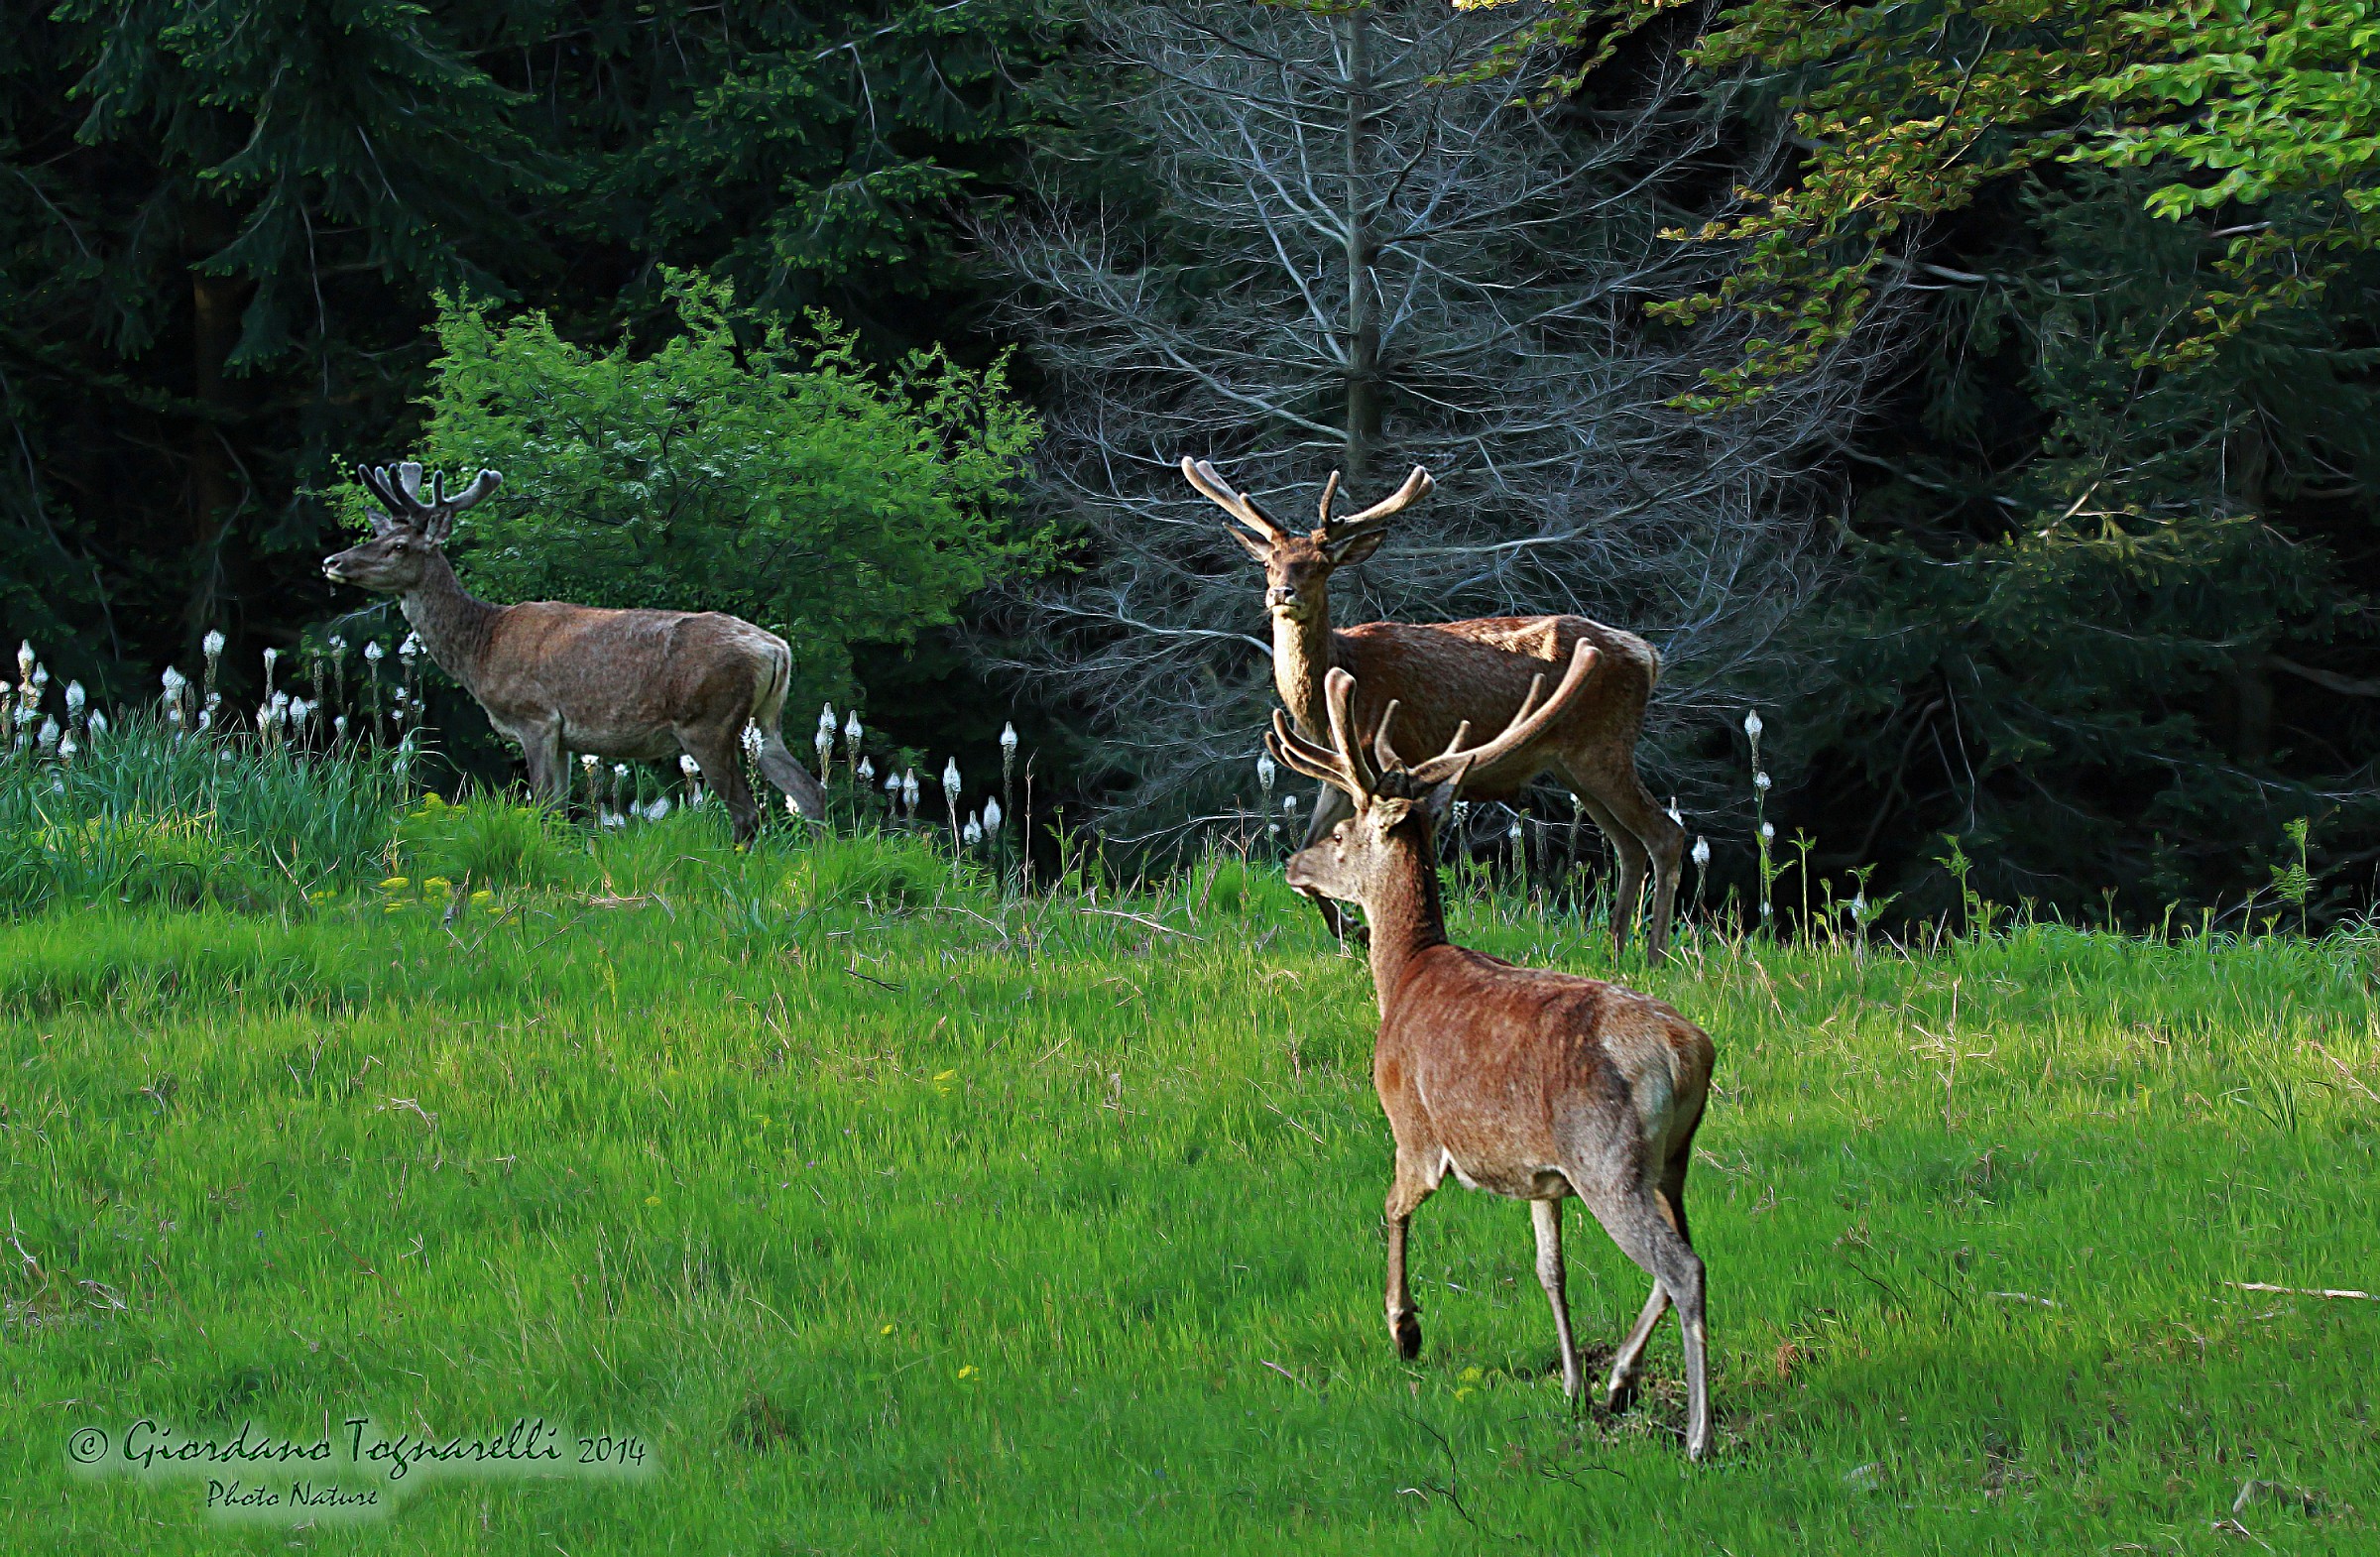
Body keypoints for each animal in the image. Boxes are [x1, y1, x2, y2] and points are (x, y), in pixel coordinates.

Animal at [322, 461, 826, 843]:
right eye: (376, 537)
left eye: (398, 546)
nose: (332, 562)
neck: (480, 648)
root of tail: (776, 649)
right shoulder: (563, 736)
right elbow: (559, 809)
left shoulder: (536, 717)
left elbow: (545, 808)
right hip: (764, 720)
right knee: (810, 791)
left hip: (707, 720)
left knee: (747, 811)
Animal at [1184, 457, 1686, 959]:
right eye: (1270, 562)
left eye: (1322, 565)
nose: (1282, 594)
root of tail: (1650, 655)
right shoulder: (1338, 768)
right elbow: (1310, 844)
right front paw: (1349, 926)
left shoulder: (1384, 754)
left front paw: (1358, 925)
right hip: (1573, 763)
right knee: (1628, 844)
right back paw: (1616, 947)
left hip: (1605, 745)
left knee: (1665, 834)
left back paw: (1656, 953)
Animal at [1266, 645, 1716, 1459]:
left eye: (1342, 834)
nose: (1296, 863)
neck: (1404, 979)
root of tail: (1689, 1051)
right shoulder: (1541, 1176)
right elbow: (1550, 1269)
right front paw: (1570, 1383)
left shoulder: (1413, 1126)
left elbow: (1392, 1207)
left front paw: (1403, 1329)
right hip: (1672, 1158)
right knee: (1681, 1257)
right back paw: (1619, 1379)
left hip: (1609, 1158)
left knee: (1682, 1266)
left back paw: (1697, 1435)